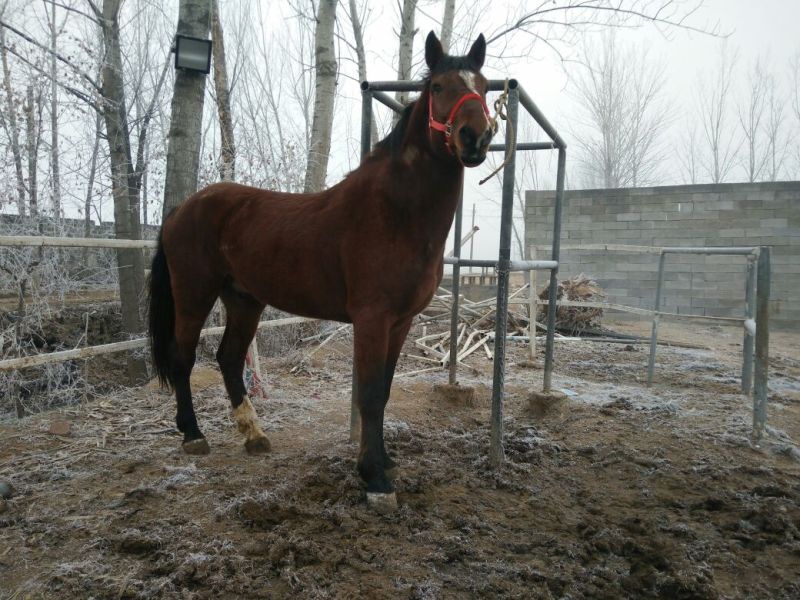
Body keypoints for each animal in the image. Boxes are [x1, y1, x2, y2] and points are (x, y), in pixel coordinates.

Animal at [147, 31, 494, 512]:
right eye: (440, 86)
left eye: (485, 87)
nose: (475, 137)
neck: (396, 214)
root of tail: (183, 208)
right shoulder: (372, 319)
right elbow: (369, 395)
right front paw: (374, 478)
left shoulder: (401, 322)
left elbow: (385, 390)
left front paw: (385, 463)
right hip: (194, 294)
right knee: (183, 357)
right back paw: (194, 436)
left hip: (244, 300)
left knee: (230, 359)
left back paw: (254, 435)